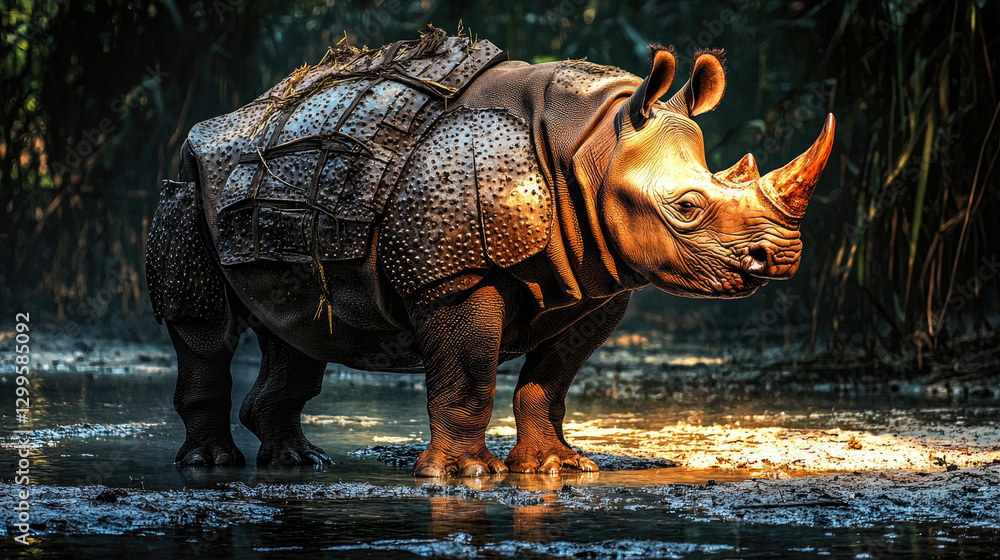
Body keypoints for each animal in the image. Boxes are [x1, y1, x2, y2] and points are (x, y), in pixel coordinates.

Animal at [146, 27, 833, 476]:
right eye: (688, 207)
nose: (781, 257)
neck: (592, 143)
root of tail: (233, 117)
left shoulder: (595, 280)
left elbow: (550, 378)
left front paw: (557, 468)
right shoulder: (453, 276)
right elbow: (468, 372)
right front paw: (464, 475)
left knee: (299, 330)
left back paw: (298, 461)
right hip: (187, 177)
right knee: (203, 326)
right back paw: (211, 465)